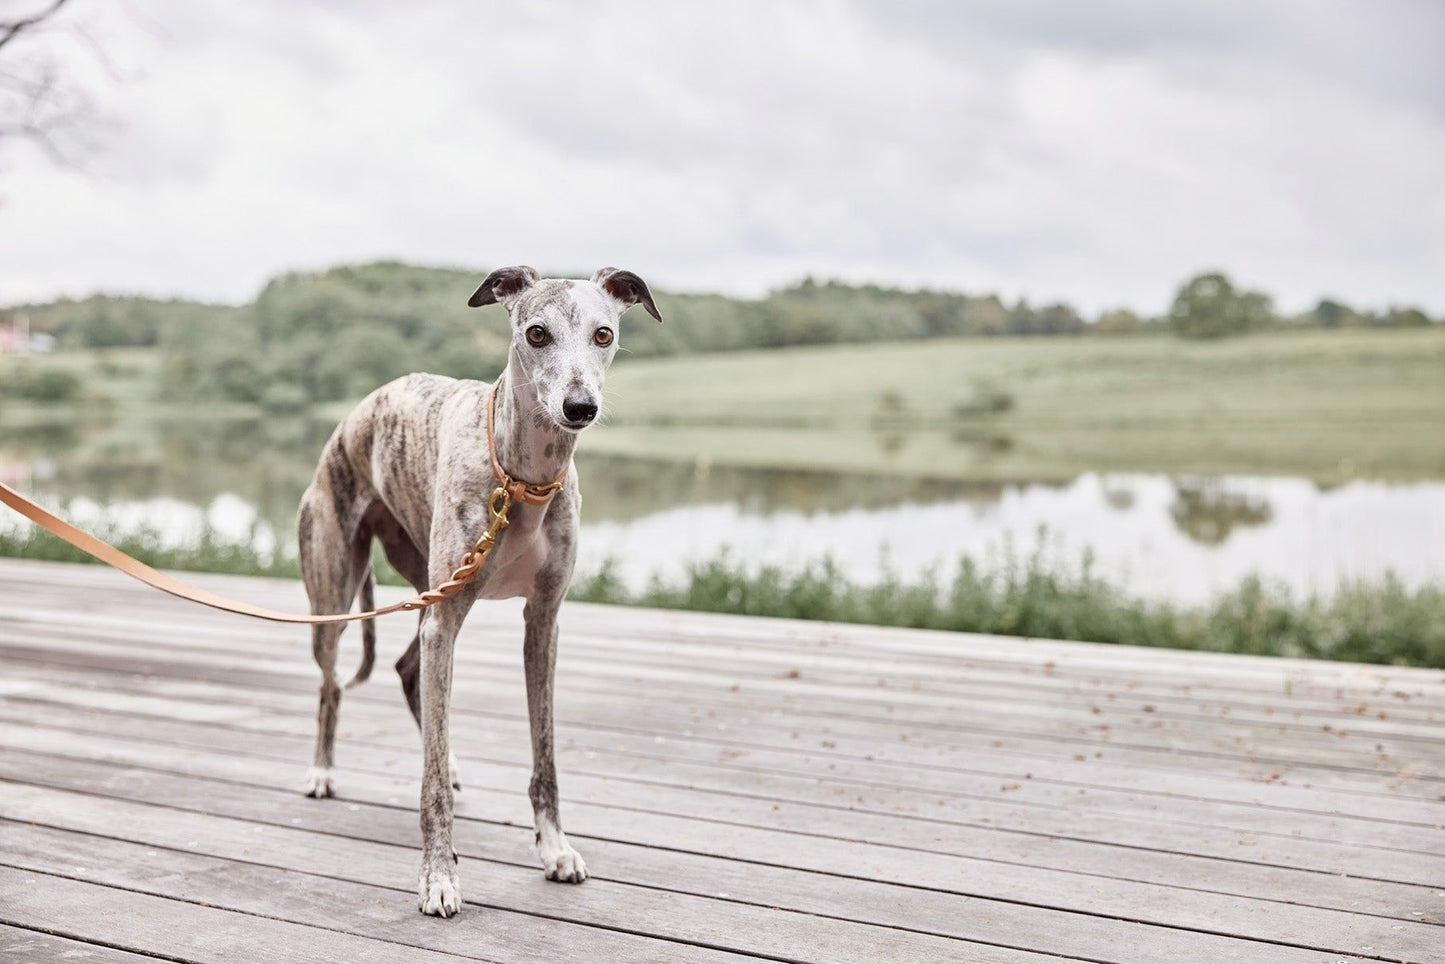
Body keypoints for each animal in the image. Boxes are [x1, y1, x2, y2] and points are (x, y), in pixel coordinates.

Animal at [294, 267, 664, 919]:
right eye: (536, 332)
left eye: (604, 333)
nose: (579, 408)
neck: (523, 481)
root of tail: (351, 420)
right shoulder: (445, 620)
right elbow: (430, 786)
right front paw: (438, 877)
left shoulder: (542, 620)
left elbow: (544, 755)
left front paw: (555, 848)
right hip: (338, 590)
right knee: (330, 685)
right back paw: (322, 771)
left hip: (425, 587)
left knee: (407, 670)